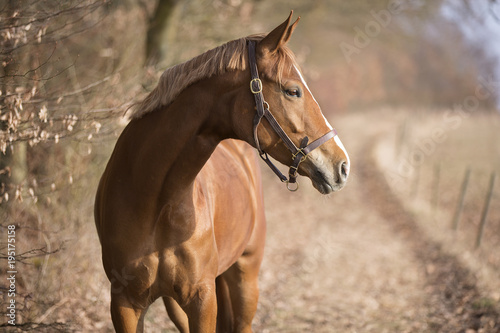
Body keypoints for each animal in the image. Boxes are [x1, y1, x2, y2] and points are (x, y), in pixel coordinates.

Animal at [95, 11, 350, 330]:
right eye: (293, 91)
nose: (342, 165)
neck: (157, 203)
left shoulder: (202, 298)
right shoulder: (125, 304)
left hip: (245, 276)